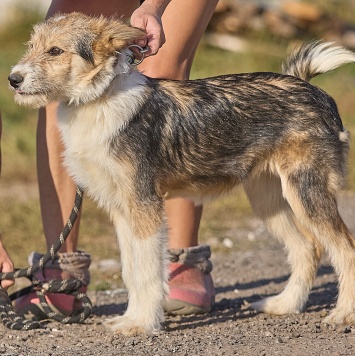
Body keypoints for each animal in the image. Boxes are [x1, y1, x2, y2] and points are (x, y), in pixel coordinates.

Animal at [8, 12, 355, 336]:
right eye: (32, 46)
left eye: (55, 50)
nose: (13, 79)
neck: (98, 99)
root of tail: (308, 86)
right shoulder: (122, 211)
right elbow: (131, 273)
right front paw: (131, 318)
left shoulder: (146, 207)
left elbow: (148, 273)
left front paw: (143, 324)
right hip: (269, 200)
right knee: (308, 249)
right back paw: (284, 304)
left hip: (306, 193)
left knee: (345, 249)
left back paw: (343, 314)